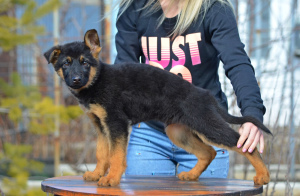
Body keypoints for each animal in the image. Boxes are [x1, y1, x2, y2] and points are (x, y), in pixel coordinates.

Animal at [44, 29, 272, 187]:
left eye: (84, 63)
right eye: (66, 64)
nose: (75, 79)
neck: (98, 81)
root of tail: (206, 95)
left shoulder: (116, 123)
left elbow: (116, 155)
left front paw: (111, 178)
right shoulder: (101, 126)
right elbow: (102, 153)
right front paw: (97, 174)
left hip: (207, 125)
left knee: (242, 144)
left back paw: (263, 175)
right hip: (178, 131)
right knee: (208, 152)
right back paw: (192, 175)